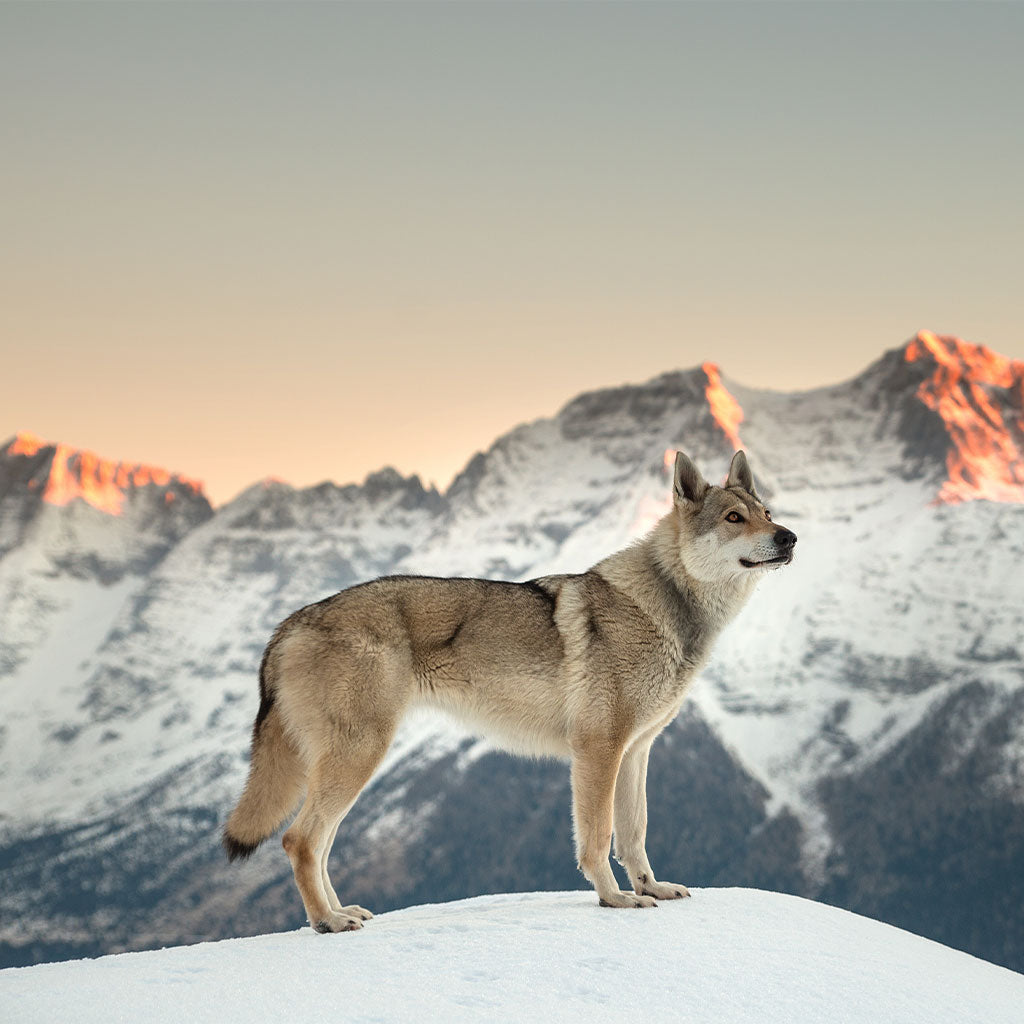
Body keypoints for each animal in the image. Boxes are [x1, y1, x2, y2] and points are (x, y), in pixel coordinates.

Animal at [223, 449, 796, 932]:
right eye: (733, 518)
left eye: (766, 511)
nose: (790, 537)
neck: (668, 610)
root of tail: (289, 624)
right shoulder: (598, 751)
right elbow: (597, 839)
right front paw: (614, 900)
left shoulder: (636, 752)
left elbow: (634, 835)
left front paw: (651, 888)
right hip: (358, 757)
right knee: (299, 840)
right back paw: (328, 922)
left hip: (351, 766)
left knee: (319, 846)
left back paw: (342, 912)